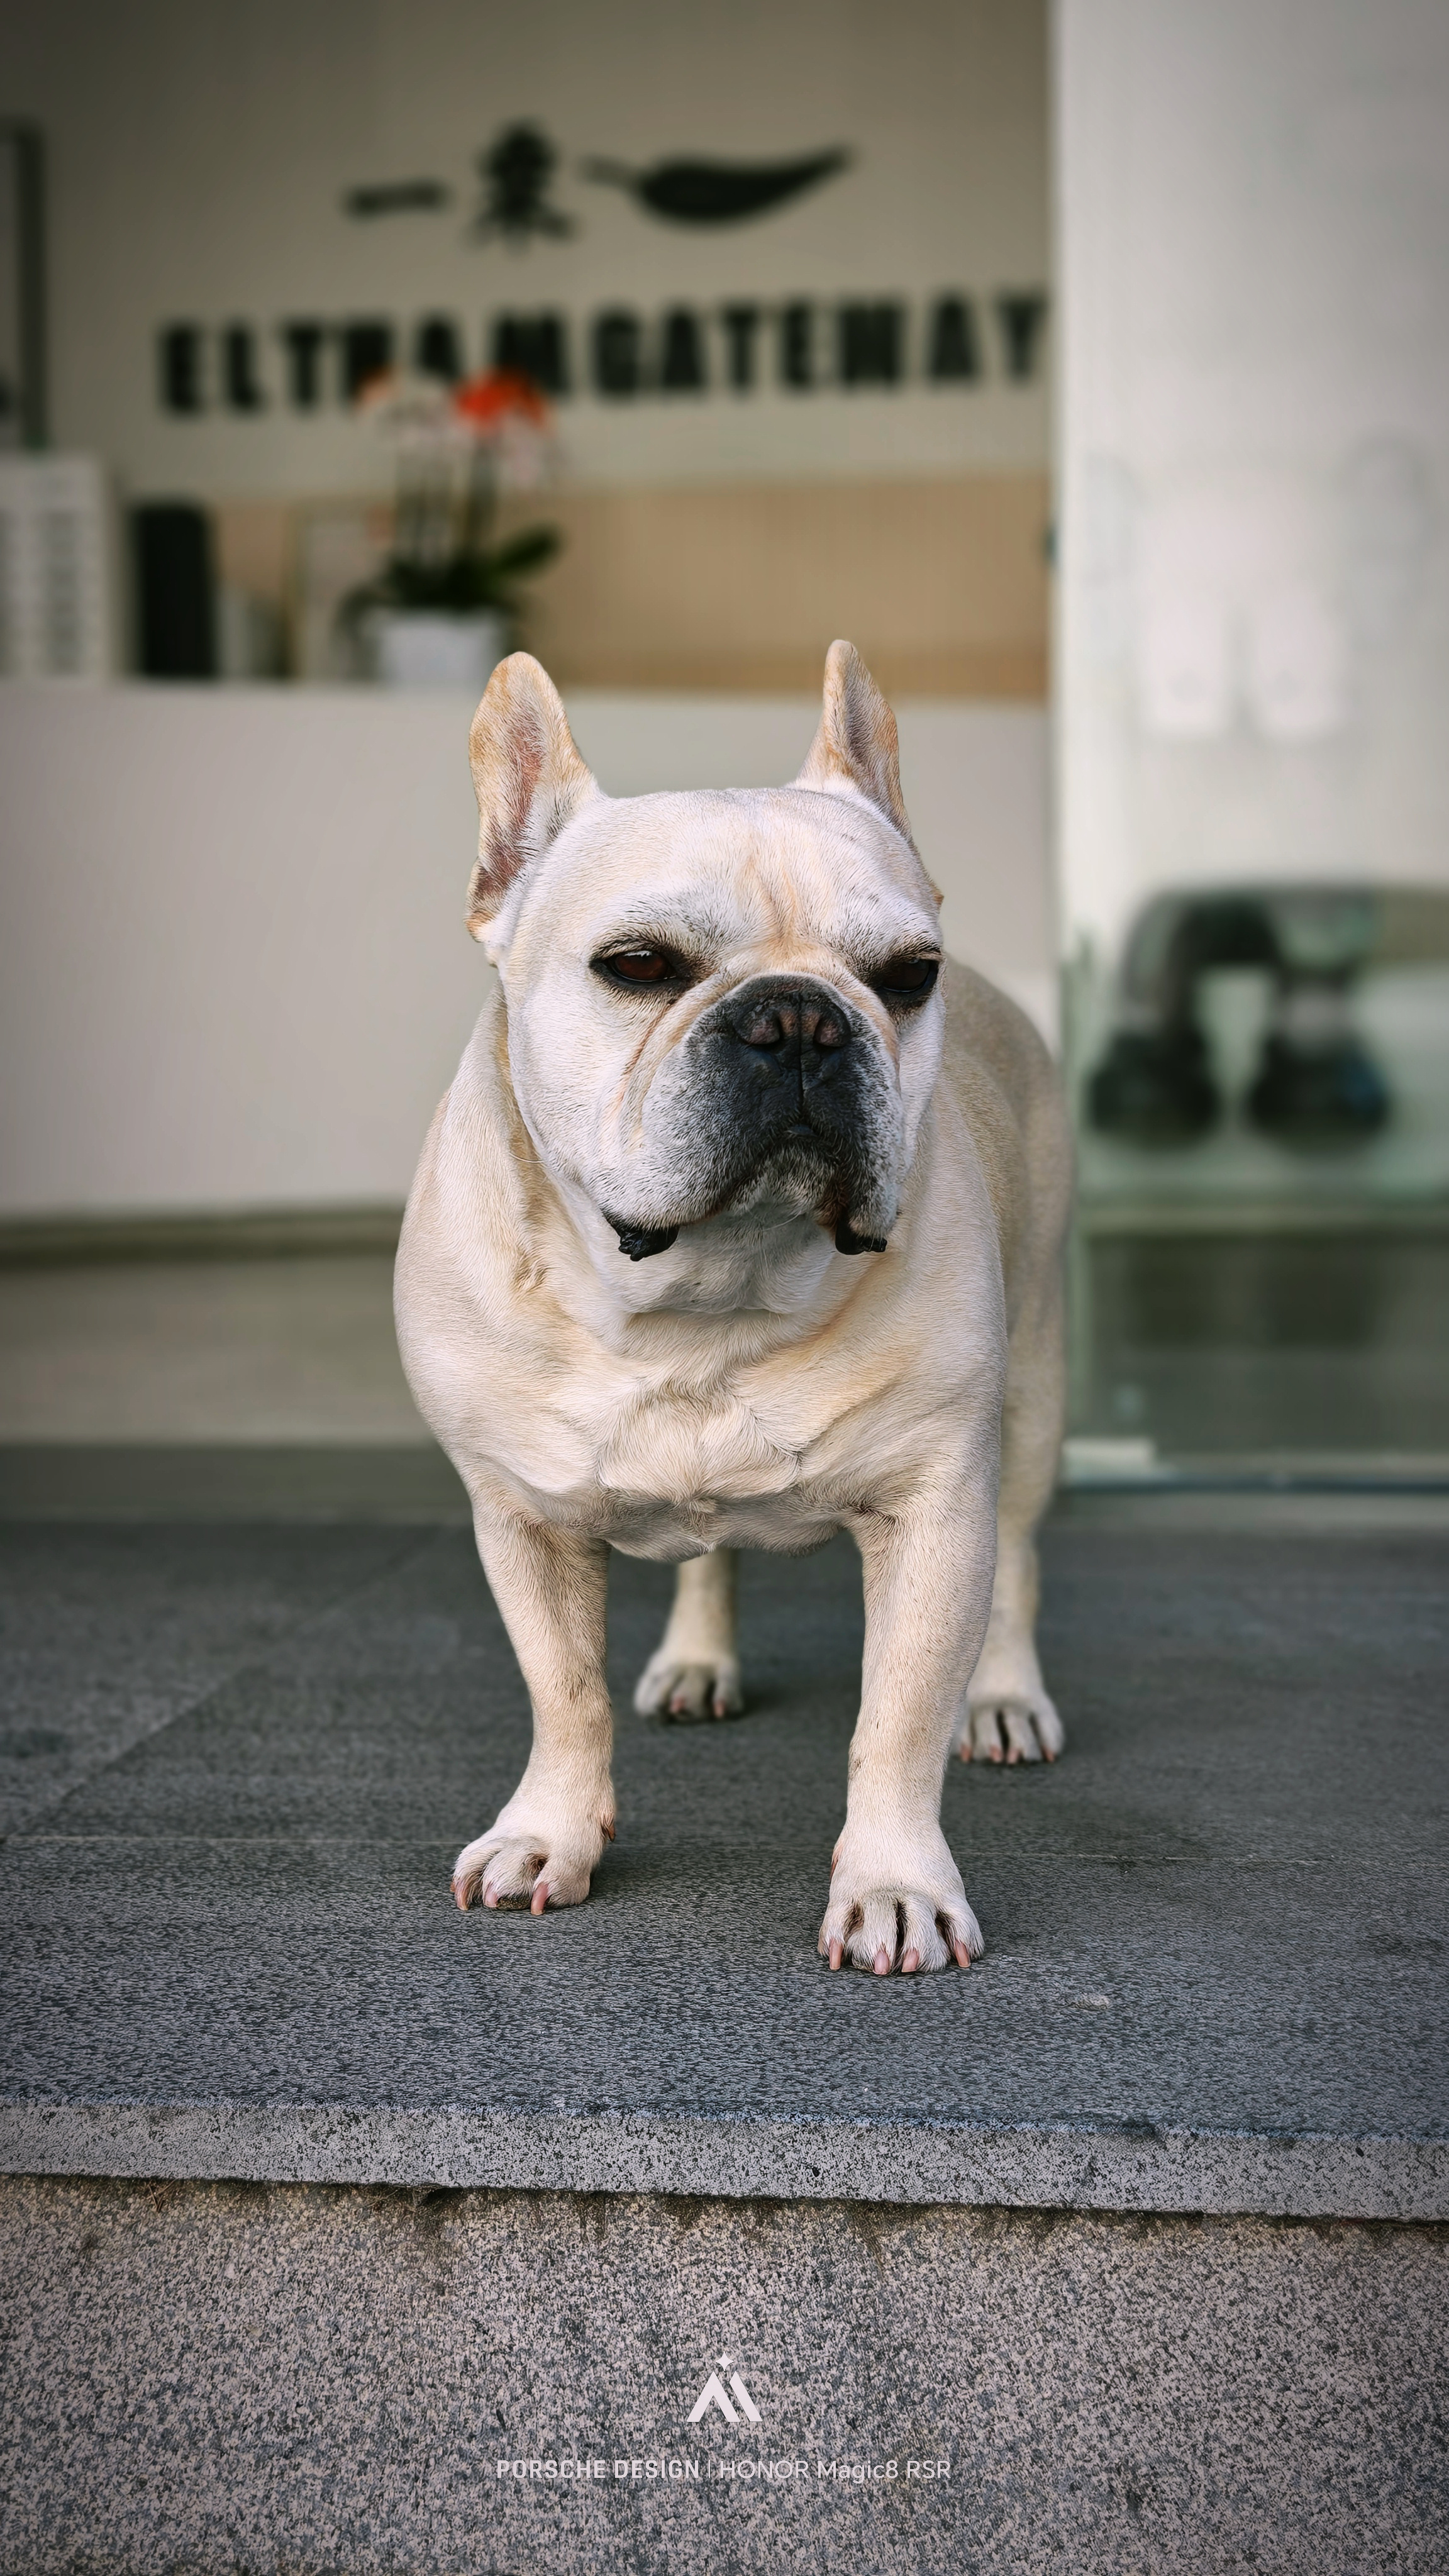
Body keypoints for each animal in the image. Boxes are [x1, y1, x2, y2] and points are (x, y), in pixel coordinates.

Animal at [395, 640, 1072, 1974]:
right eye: (637, 965)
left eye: (909, 978)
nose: (798, 1015)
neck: (703, 1293)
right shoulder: (520, 1515)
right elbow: (564, 1694)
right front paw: (547, 1834)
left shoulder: (934, 1510)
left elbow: (896, 1722)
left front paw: (893, 1885)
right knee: (703, 1563)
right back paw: (695, 1659)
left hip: (1030, 1399)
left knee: (1019, 1561)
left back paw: (1004, 1695)